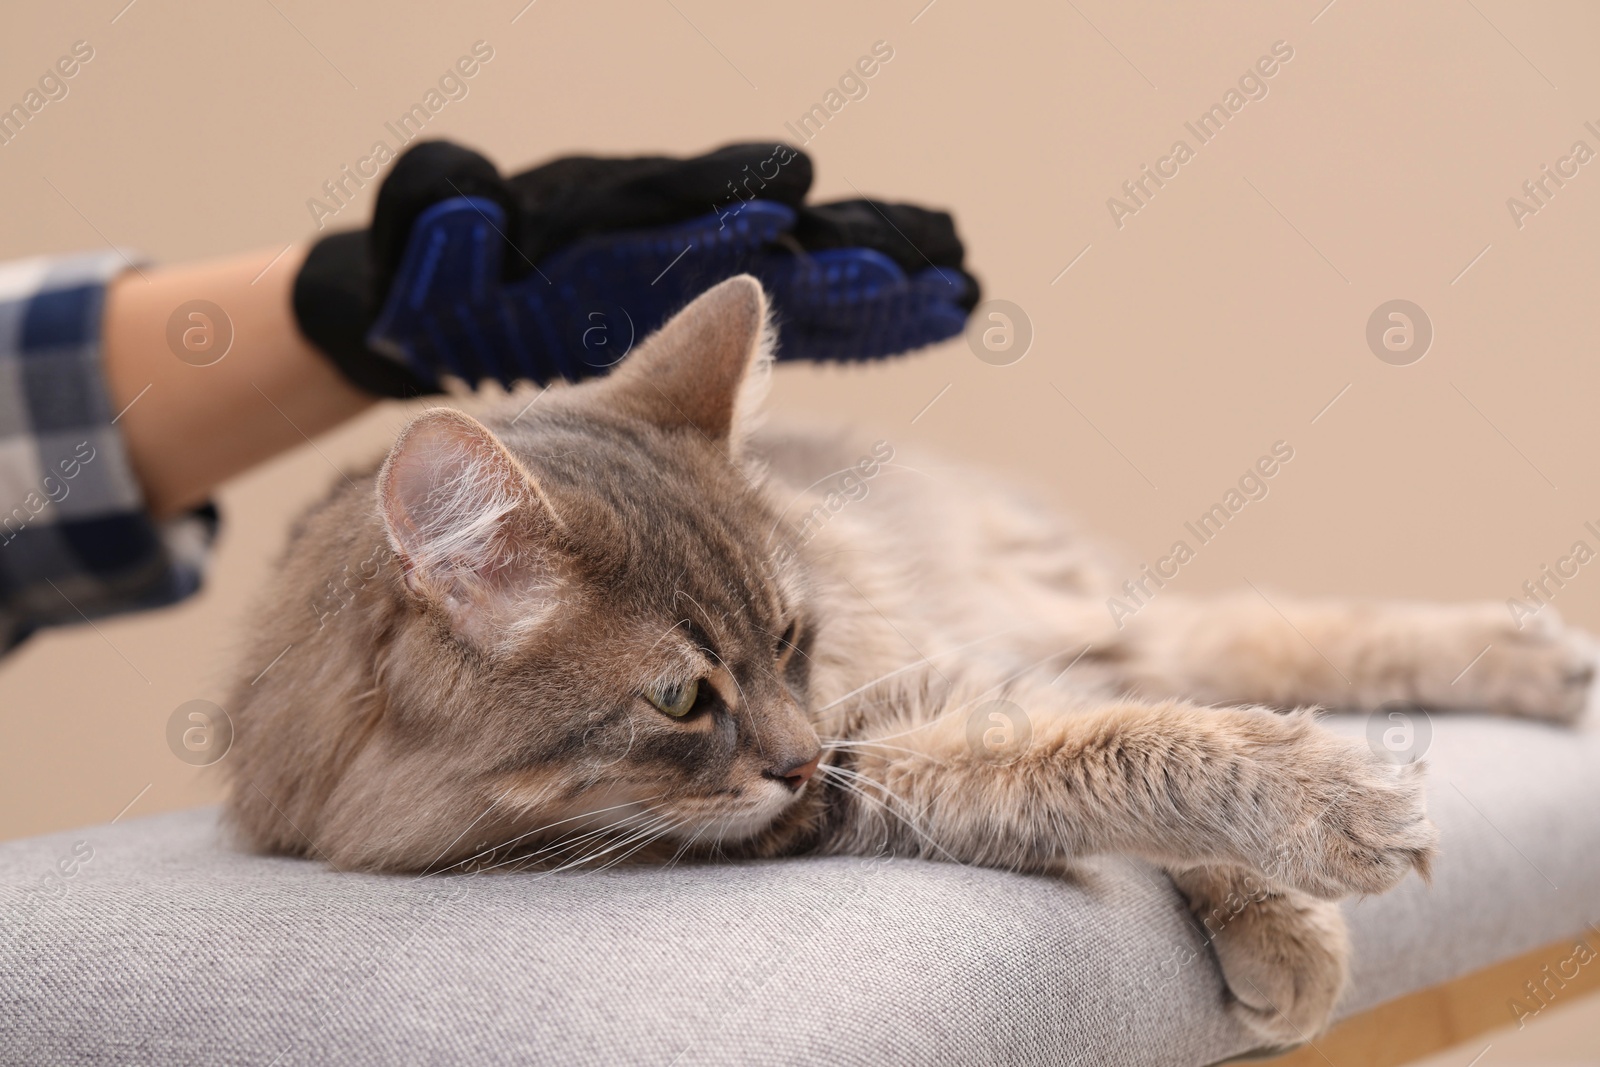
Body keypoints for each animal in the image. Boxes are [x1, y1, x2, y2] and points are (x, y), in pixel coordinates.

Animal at [222, 275, 1587, 1043]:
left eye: (789, 638)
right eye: (680, 695)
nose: (793, 753)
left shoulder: (910, 696)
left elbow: (1147, 730)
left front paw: (1300, 867)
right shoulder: (871, 770)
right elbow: (1121, 746)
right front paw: (1303, 862)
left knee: (1235, 636)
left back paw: (1538, 661)